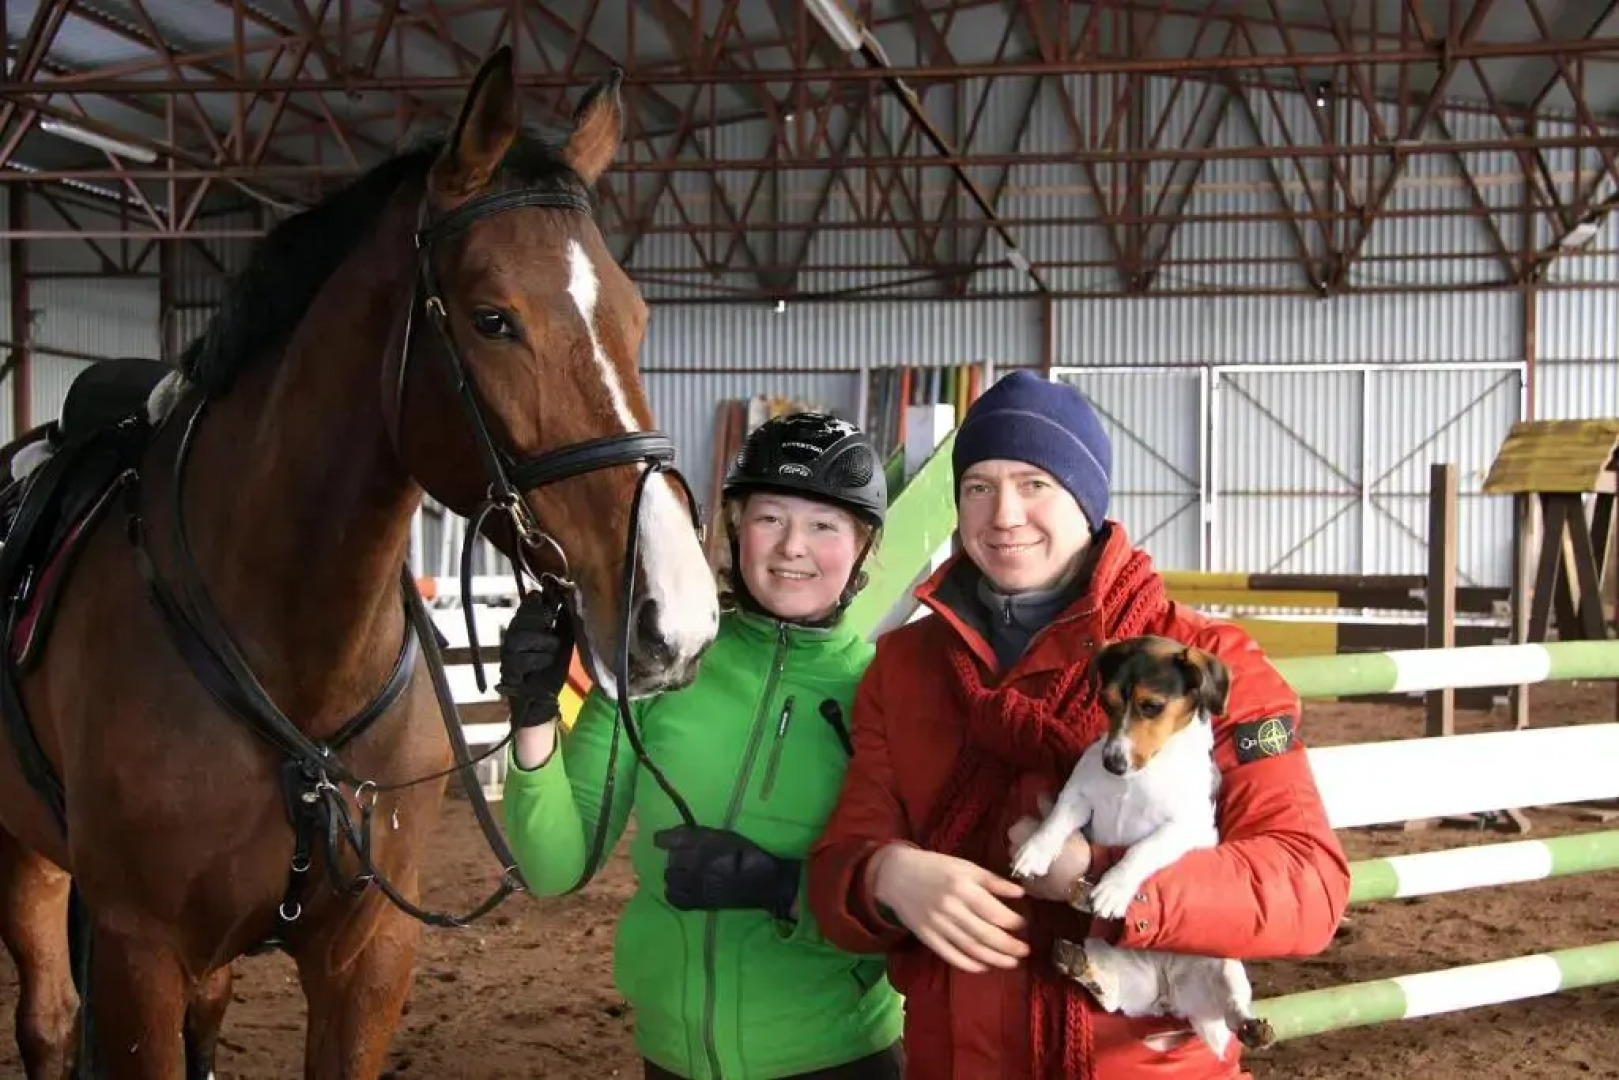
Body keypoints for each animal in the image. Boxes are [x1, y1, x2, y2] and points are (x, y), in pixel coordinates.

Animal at [0, 45, 720, 1079]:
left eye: (636, 315)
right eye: (492, 318)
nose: (679, 617)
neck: (295, 664)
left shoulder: (369, 957)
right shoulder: (138, 957)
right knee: (49, 1021)